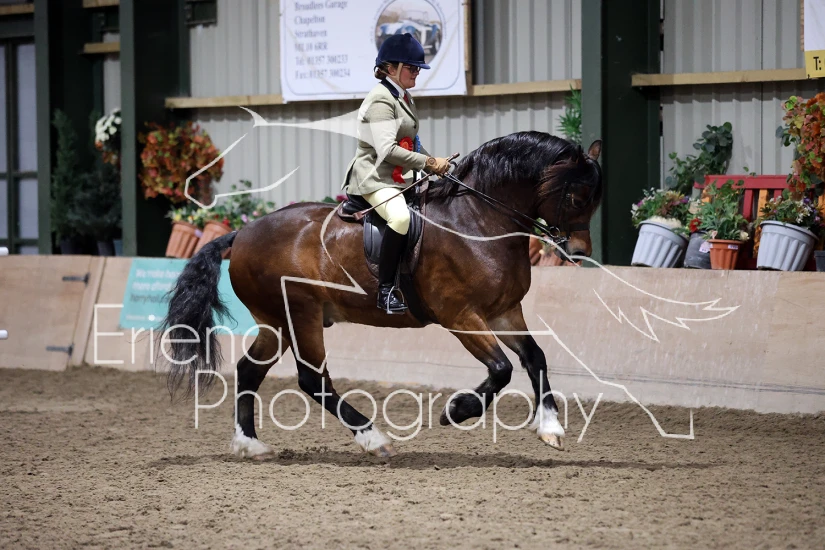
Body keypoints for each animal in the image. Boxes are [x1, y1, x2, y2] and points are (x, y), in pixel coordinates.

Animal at [158, 131, 603, 459]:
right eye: (577, 197)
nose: (580, 252)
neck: (478, 220)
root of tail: (242, 233)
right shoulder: (460, 317)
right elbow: (501, 370)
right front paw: (455, 411)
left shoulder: (504, 312)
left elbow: (535, 358)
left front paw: (551, 428)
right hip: (300, 313)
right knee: (312, 379)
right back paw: (374, 439)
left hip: (277, 322)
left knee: (251, 370)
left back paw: (251, 445)